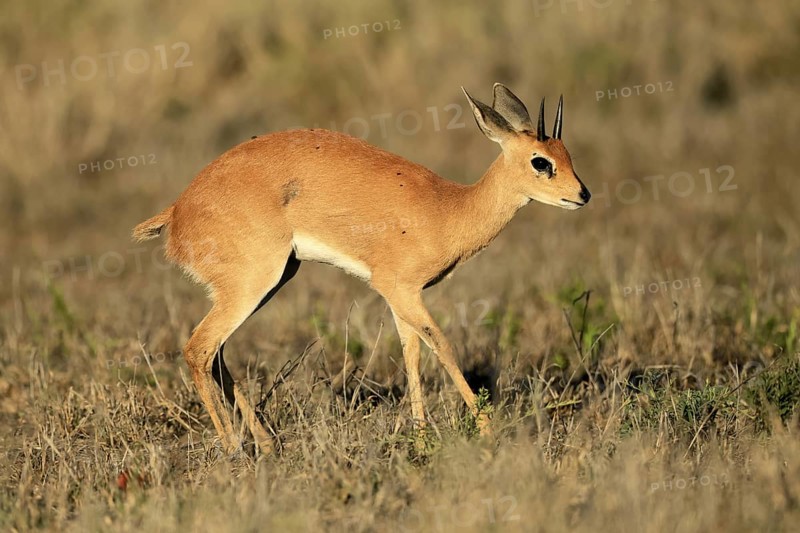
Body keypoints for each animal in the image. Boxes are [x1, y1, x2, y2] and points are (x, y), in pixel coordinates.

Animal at [132, 84, 590, 454]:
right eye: (541, 162)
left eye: (568, 155)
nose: (583, 194)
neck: (449, 209)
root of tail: (179, 209)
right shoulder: (398, 288)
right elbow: (443, 347)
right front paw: (487, 430)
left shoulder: (403, 297)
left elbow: (411, 353)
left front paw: (420, 437)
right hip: (253, 284)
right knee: (198, 349)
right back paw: (234, 450)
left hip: (270, 281)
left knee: (217, 353)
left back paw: (266, 442)